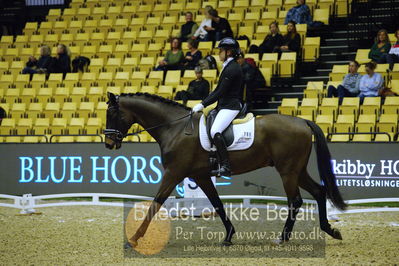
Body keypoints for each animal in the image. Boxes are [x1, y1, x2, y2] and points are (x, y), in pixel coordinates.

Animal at [104, 93, 346, 247]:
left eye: (112, 114)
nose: (108, 143)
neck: (175, 128)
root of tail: (303, 121)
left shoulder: (173, 173)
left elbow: (155, 204)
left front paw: (133, 239)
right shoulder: (200, 176)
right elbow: (217, 204)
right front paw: (229, 236)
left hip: (287, 171)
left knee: (295, 201)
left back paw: (283, 238)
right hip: (297, 170)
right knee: (319, 191)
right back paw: (330, 230)